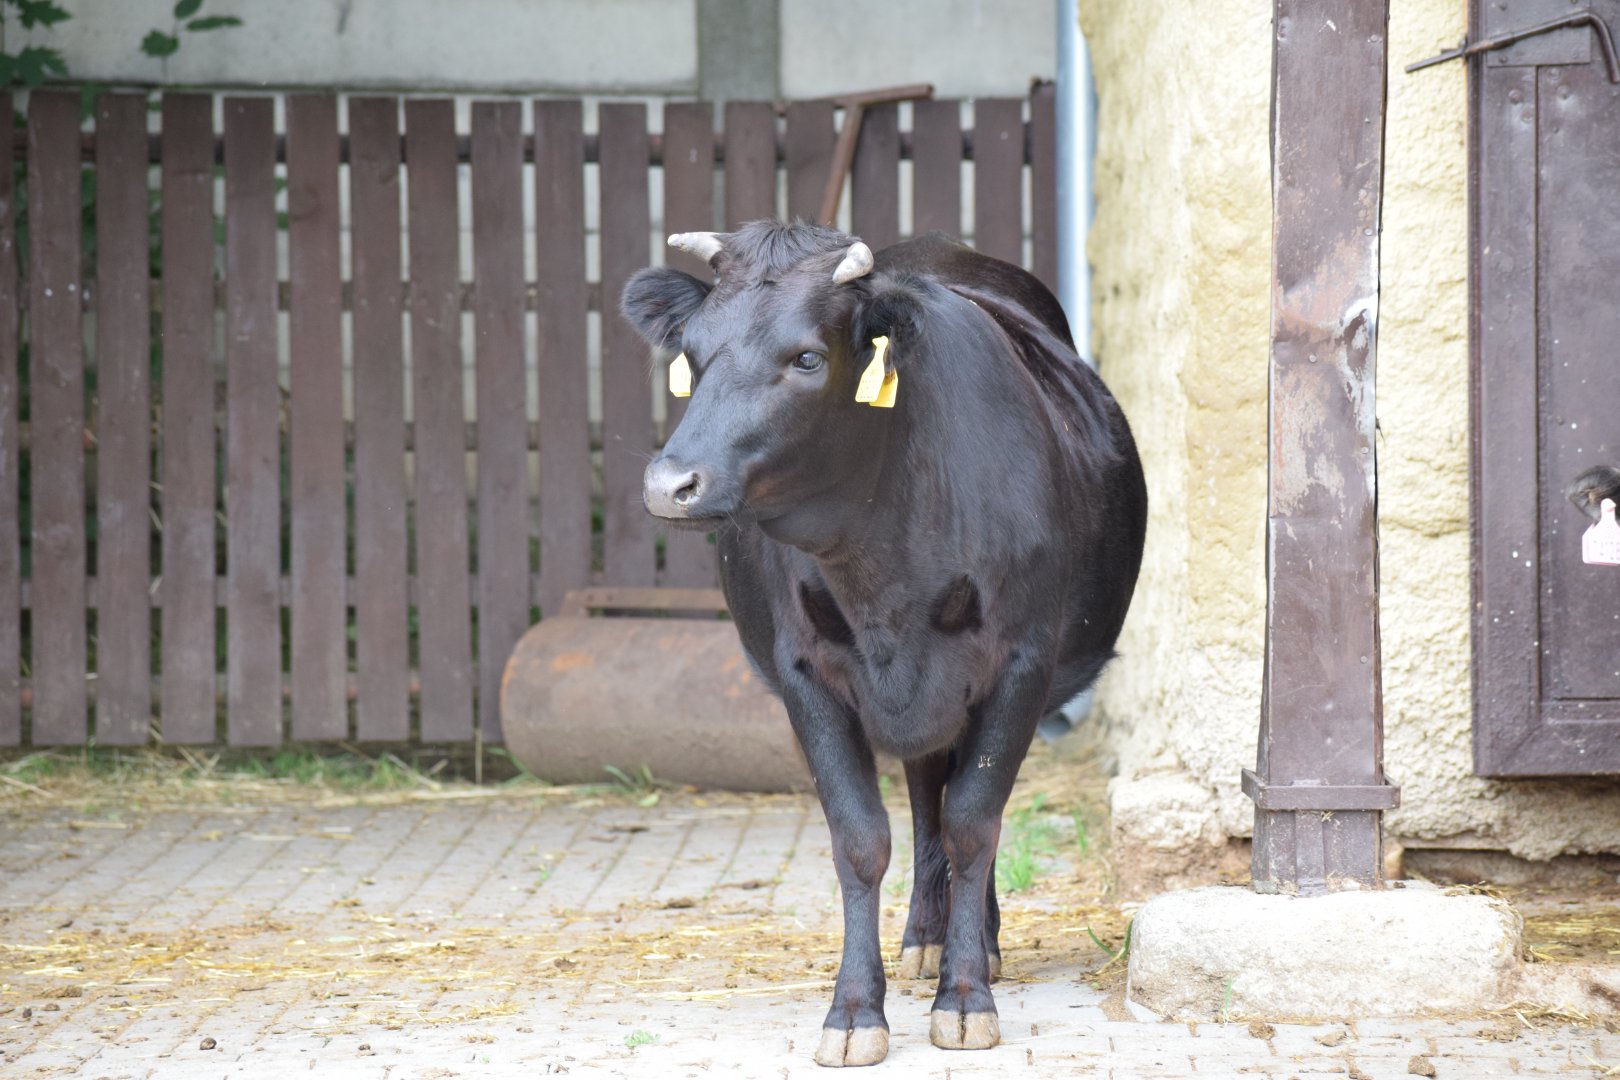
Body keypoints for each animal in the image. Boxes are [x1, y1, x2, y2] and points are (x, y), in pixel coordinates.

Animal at [621, 221, 1147, 1067]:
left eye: (807, 358)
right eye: (692, 354)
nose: (672, 485)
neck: (883, 561)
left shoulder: (1021, 667)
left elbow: (975, 822)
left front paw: (966, 997)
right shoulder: (806, 676)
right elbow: (862, 839)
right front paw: (854, 1010)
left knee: (961, 810)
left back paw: (973, 947)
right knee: (929, 798)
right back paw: (928, 936)